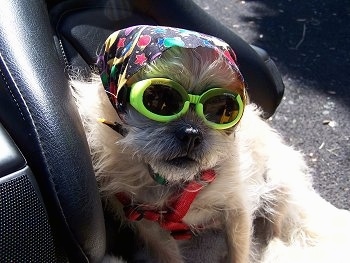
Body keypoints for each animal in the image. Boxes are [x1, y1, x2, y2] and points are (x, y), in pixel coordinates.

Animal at [70, 25, 350, 263]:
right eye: (158, 100)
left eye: (223, 109)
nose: (192, 134)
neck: (172, 183)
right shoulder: (147, 226)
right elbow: (168, 255)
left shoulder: (237, 208)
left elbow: (239, 252)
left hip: (279, 182)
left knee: (275, 226)